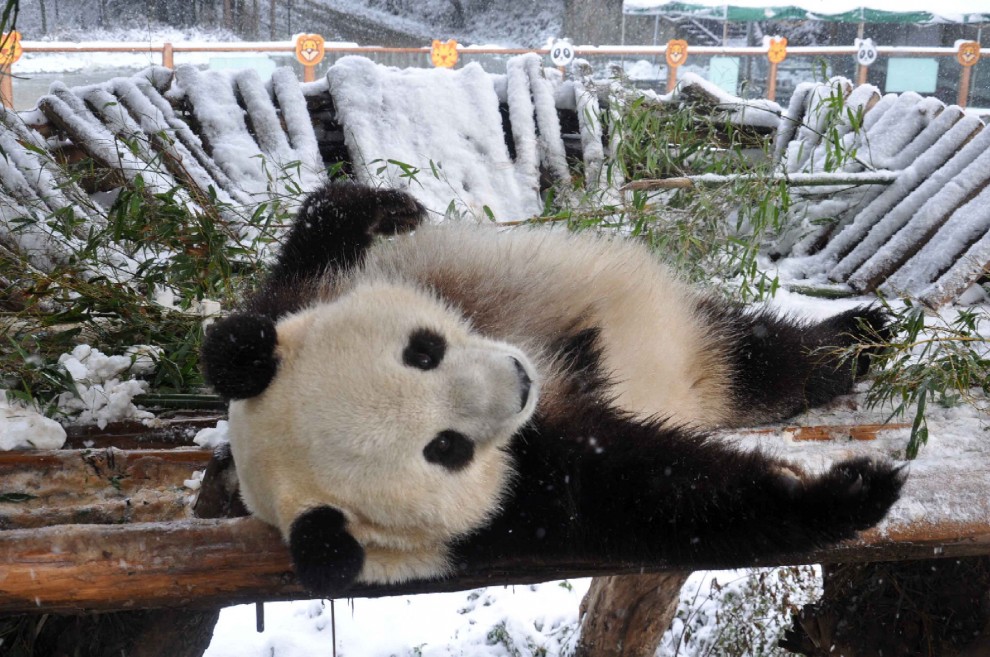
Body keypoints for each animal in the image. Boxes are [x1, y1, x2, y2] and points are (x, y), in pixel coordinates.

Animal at [201, 181, 904, 595]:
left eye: (423, 351)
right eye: (446, 448)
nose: (520, 377)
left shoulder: (300, 298)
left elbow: (307, 252)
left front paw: (388, 203)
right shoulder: (519, 507)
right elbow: (652, 495)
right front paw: (844, 493)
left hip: (693, 332)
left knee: (763, 352)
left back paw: (863, 333)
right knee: (764, 367)